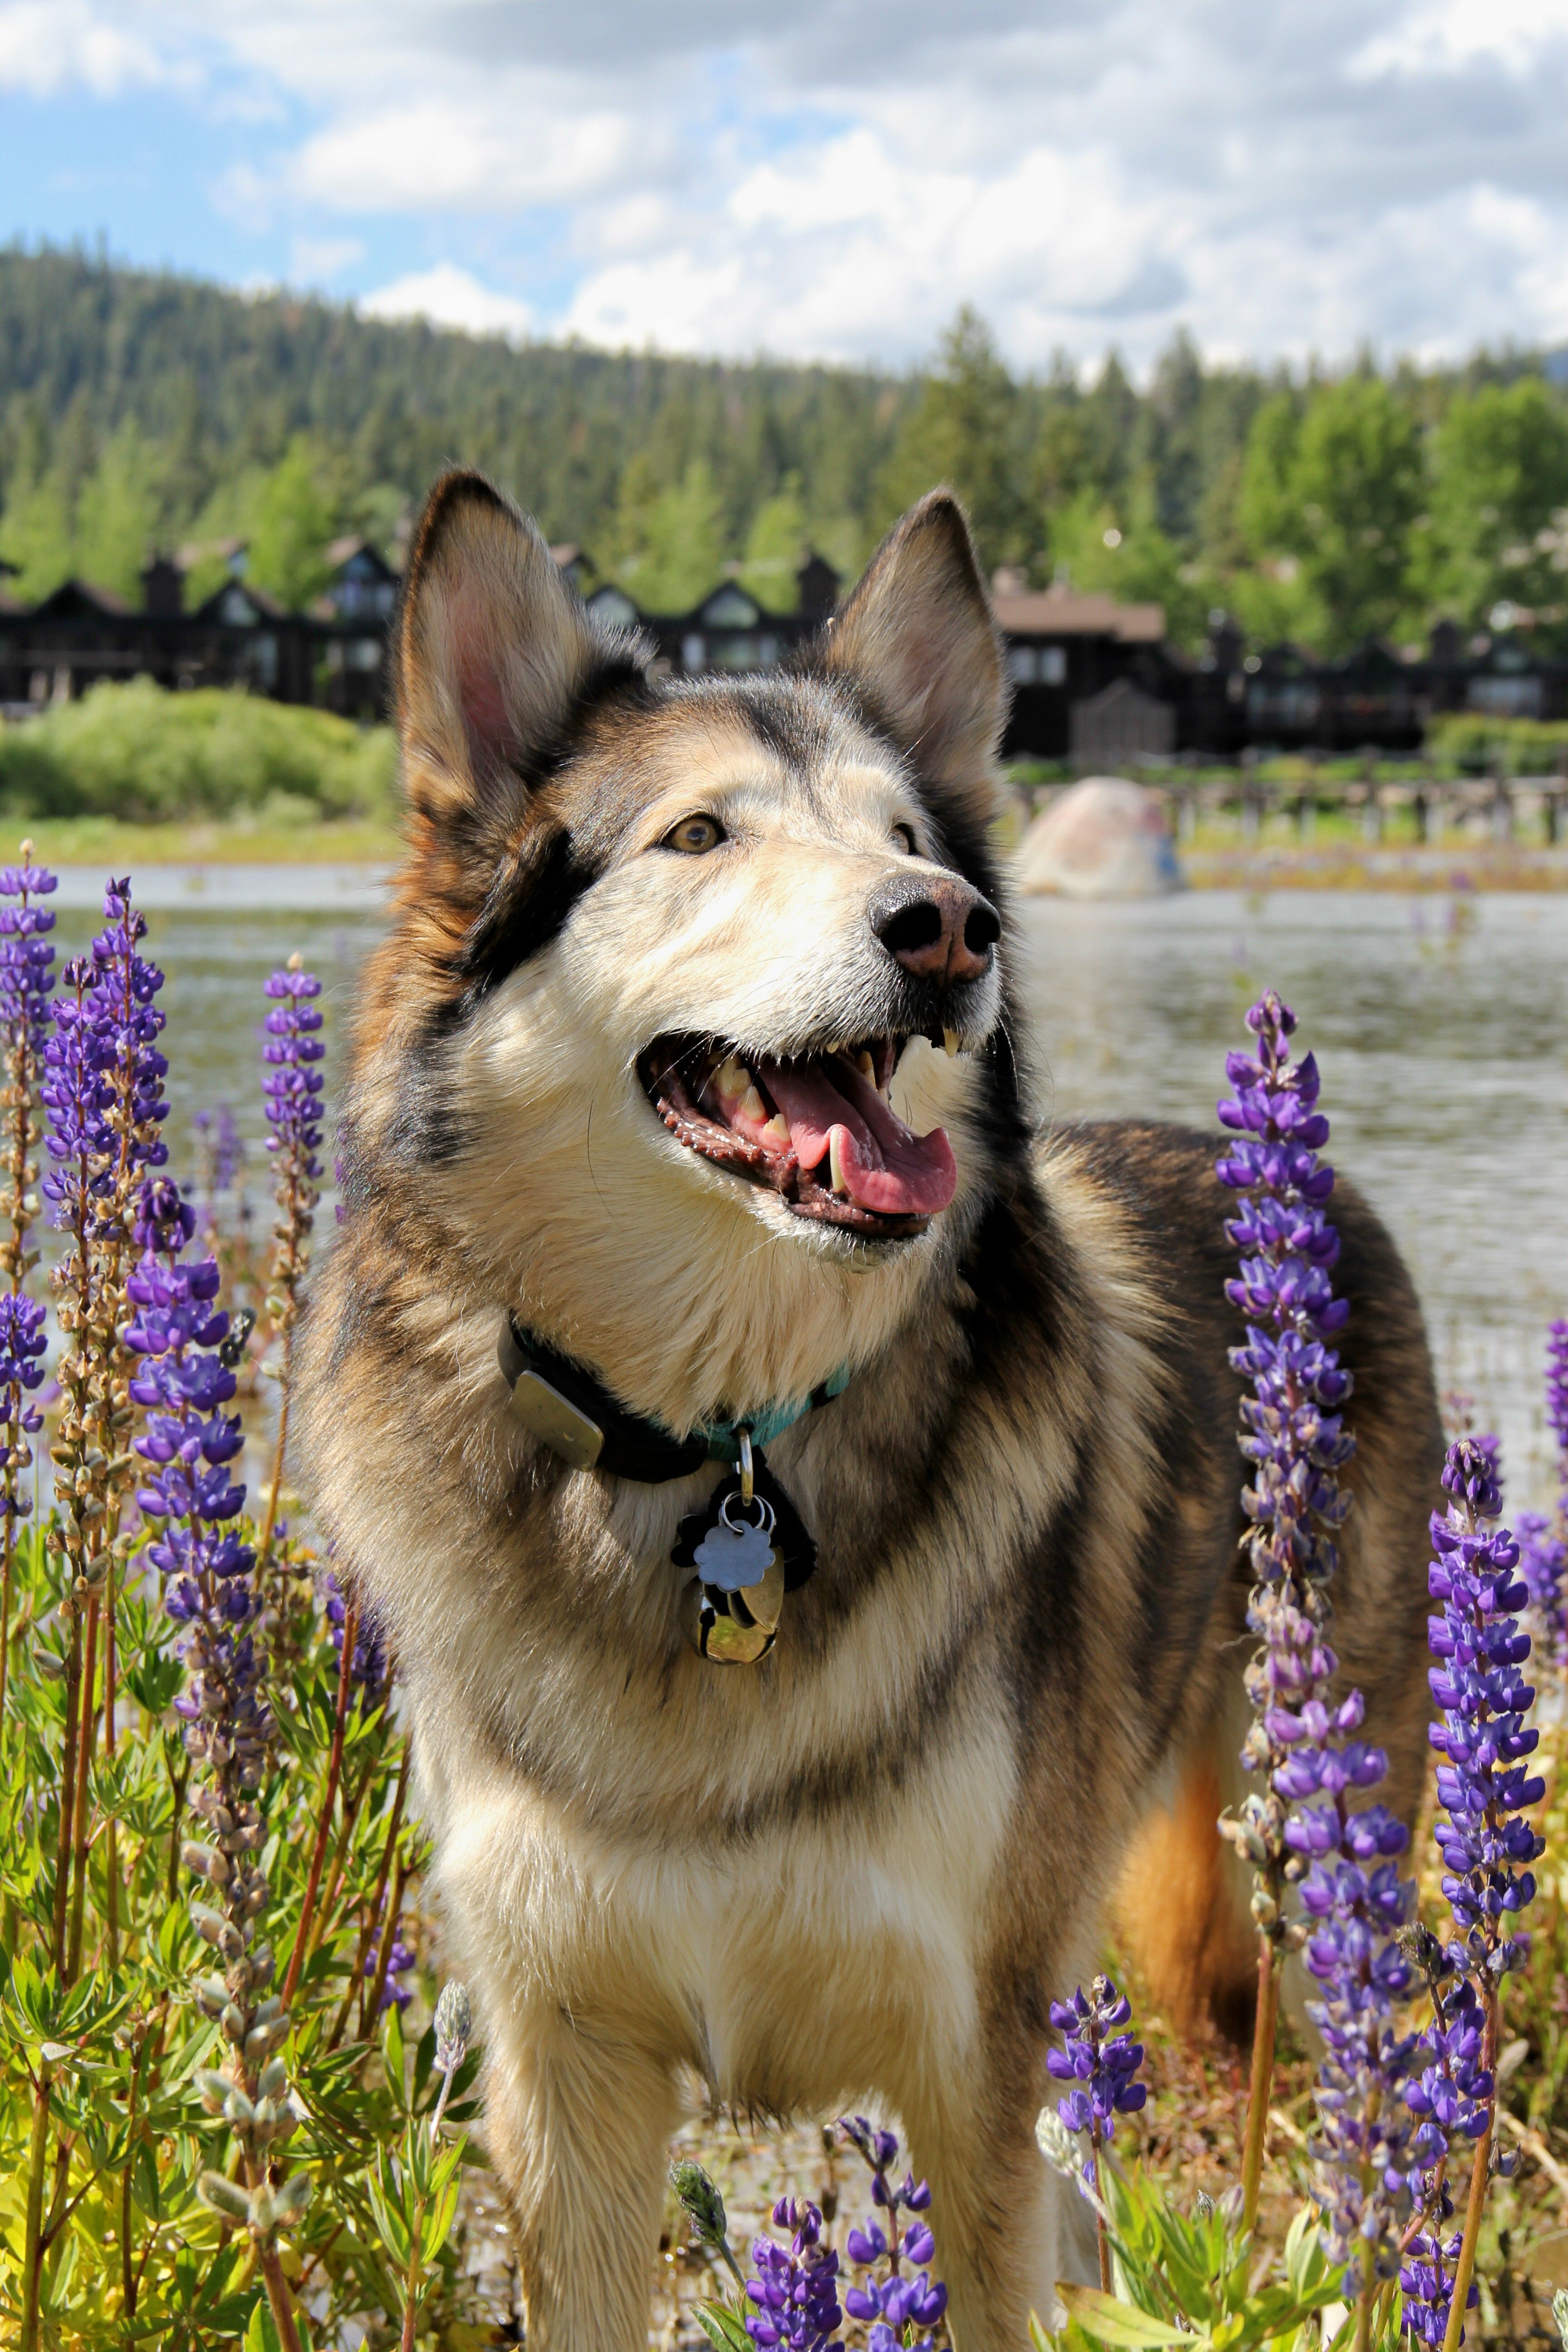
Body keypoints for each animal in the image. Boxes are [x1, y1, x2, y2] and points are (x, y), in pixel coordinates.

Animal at [294, 472, 1442, 2350]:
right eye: (698, 835)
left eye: (908, 832)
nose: (945, 922)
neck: (719, 1448)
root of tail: (1294, 1180)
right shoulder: (569, 2082)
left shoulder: (965, 2055)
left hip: (1310, 1860)